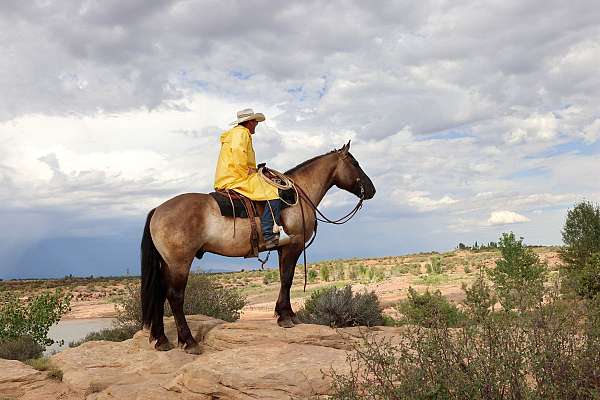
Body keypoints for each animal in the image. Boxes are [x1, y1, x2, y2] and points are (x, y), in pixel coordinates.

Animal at [141, 141, 376, 354]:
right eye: (355, 163)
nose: (372, 190)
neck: (297, 196)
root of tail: (157, 209)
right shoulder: (293, 247)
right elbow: (287, 279)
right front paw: (285, 317)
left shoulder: (283, 249)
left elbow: (283, 278)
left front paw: (286, 314)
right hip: (180, 262)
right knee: (175, 296)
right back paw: (188, 342)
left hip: (167, 263)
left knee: (160, 293)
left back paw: (162, 340)